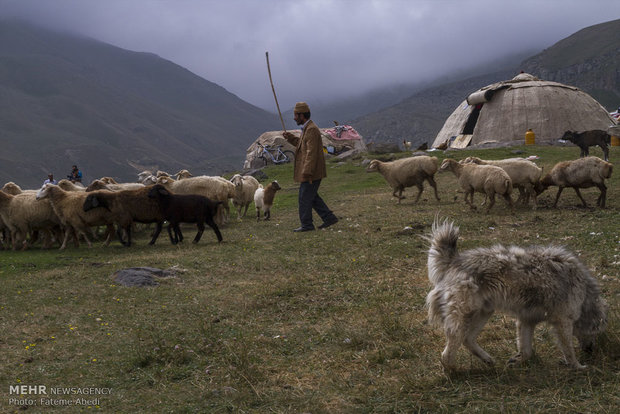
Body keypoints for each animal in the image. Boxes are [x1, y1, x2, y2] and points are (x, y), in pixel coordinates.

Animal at [426, 218, 604, 370]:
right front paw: (578, 366)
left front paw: (518, 360)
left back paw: (487, 360)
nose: (590, 351)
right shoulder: (563, 321)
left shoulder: (526, 320)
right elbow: (568, 350)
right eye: (595, 332)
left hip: (484, 312)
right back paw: (454, 372)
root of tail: (454, 261)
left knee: (468, 339)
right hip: (464, 318)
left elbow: (526, 350)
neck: (585, 294)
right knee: (447, 354)